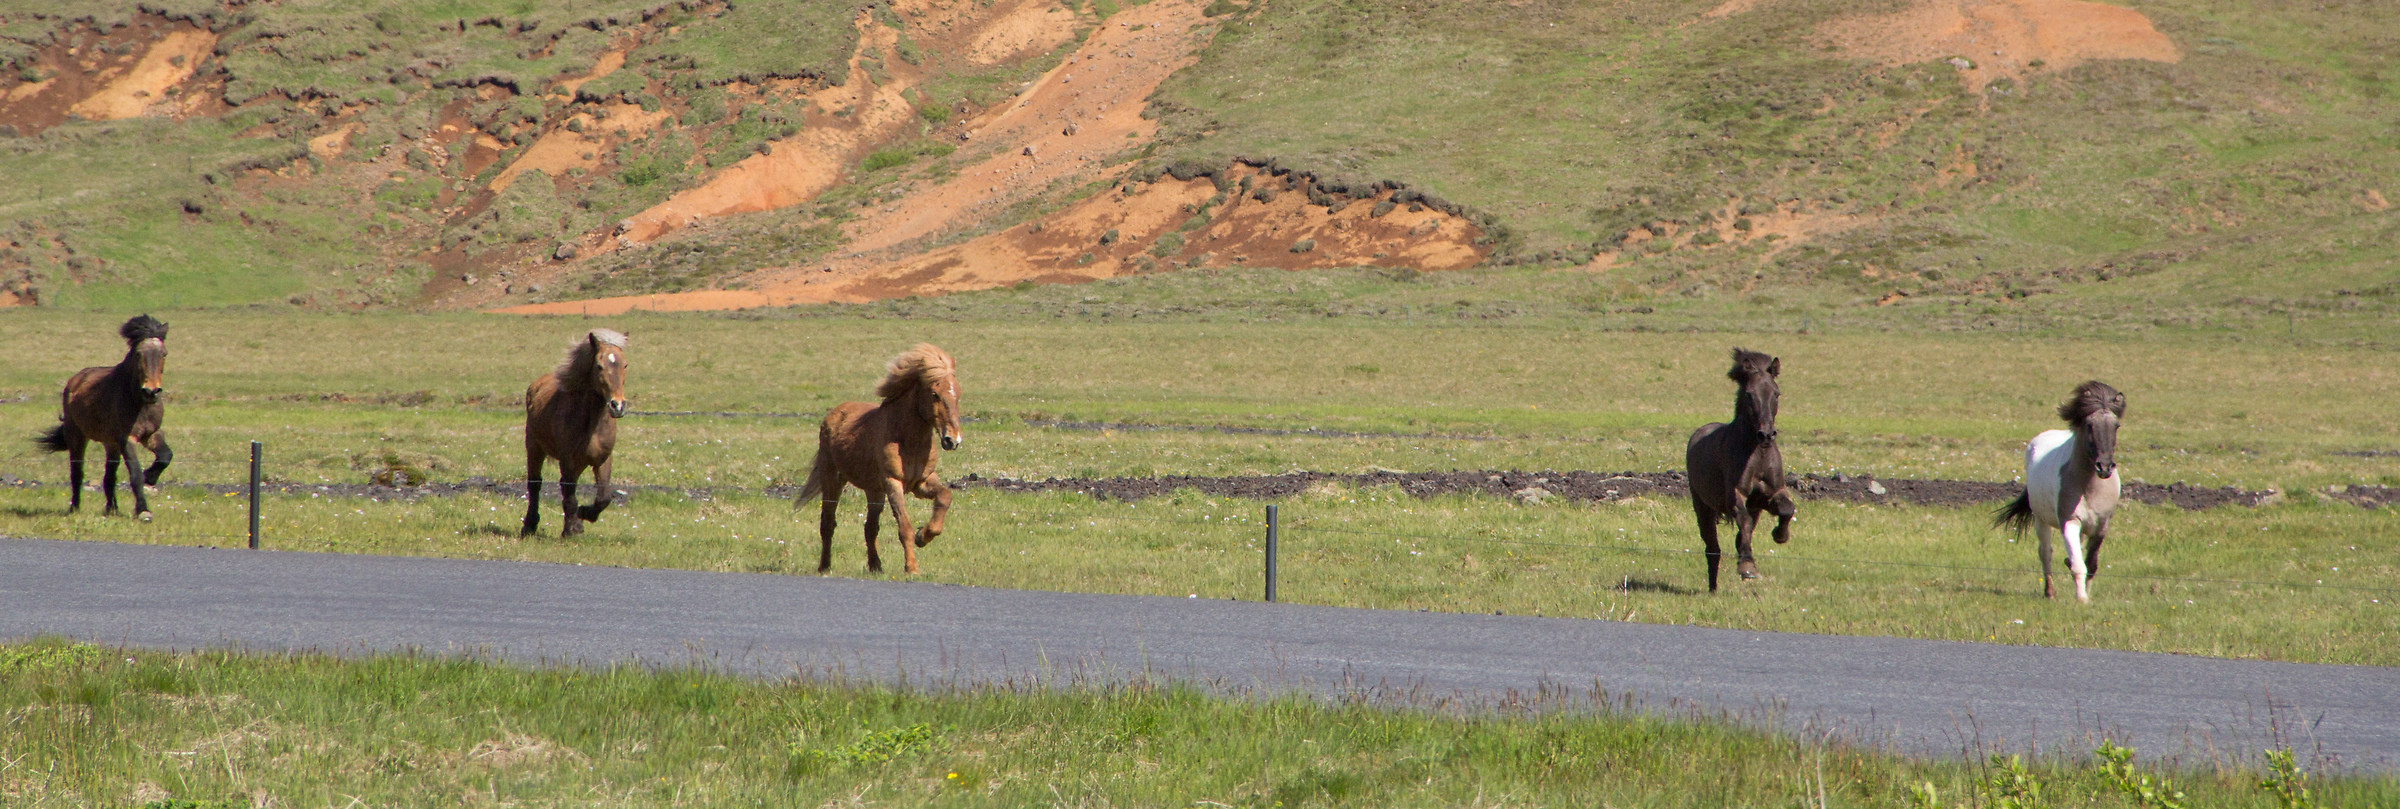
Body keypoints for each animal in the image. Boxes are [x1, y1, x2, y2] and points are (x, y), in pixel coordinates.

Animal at [35, 315, 174, 520]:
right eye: (138, 354)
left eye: (164, 354)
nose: (151, 391)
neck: (138, 402)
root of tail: (75, 380)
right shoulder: (127, 439)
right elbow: (135, 474)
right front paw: (143, 510)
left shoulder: (151, 434)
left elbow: (166, 456)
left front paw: (150, 477)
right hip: (77, 437)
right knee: (77, 473)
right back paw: (74, 508)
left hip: (111, 444)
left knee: (109, 477)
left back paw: (112, 509)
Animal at [521, 329, 629, 537]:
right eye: (599, 366)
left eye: (625, 364)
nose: (617, 405)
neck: (591, 422)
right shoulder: (568, 460)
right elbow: (569, 495)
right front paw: (571, 530)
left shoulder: (602, 460)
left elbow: (603, 497)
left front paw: (584, 514)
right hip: (535, 448)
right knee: (535, 484)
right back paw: (530, 525)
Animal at [795, 343, 963, 574]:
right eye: (935, 394)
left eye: (958, 395)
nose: (952, 440)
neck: (907, 439)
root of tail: (833, 415)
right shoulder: (893, 483)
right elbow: (904, 527)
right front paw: (912, 567)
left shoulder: (922, 482)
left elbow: (945, 497)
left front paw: (923, 536)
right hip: (833, 481)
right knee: (828, 524)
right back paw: (825, 567)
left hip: (874, 491)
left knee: (870, 528)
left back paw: (876, 566)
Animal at [1684, 348, 1796, 592]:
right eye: (1749, 395)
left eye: (1776, 393)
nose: (1767, 435)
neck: (1756, 453)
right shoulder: (1736, 495)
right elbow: (1743, 522)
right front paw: (1747, 567)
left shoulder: (1766, 495)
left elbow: (1786, 509)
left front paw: (1780, 535)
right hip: (1702, 507)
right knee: (1712, 548)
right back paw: (1713, 589)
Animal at [1994, 380, 2125, 603]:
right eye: (2089, 425)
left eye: (2116, 426)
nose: (2105, 467)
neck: (2088, 487)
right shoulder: (2069, 522)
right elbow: (2078, 565)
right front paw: (2081, 599)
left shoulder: (2101, 527)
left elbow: (2091, 564)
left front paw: (2087, 594)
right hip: (2040, 520)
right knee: (2045, 553)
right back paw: (2049, 592)